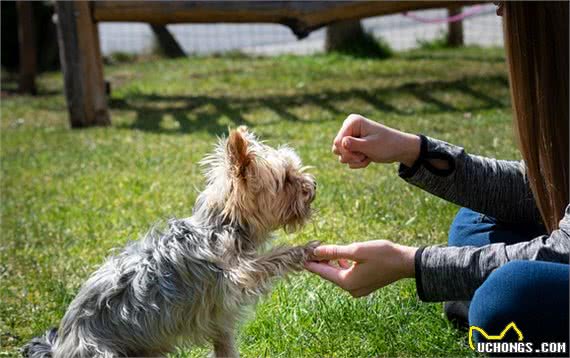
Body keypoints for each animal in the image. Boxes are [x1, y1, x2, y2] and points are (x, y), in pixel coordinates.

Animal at [24, 127, 318, 356]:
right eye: (286, 179)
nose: (313, 185)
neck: (222, 225)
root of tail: (60, 345)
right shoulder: (237, 274)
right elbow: (270, 258)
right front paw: (304, 250)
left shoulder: (220, 319)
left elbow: (224, 345)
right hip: (101, 351)